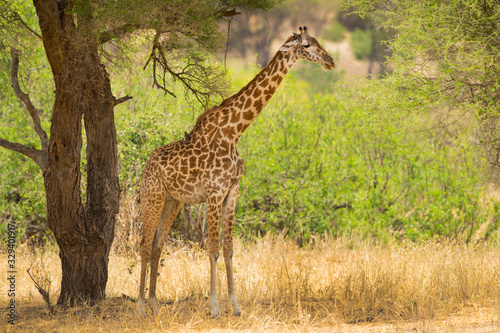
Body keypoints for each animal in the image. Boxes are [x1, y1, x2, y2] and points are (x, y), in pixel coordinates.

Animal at [138, 26, 336, 316]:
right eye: (308, 45)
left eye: (319, 41)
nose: (330, 61)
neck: (234, 133)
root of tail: (147, 165)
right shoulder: (213, 193)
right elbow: (212, 248)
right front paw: (214, 307)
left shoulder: (233, 192)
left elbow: (229, 249)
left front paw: (235, 305)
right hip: (152, 197)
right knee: (143, 244)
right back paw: (141, 304)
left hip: (172, 201)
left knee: (156, 245)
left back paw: (153, 303)